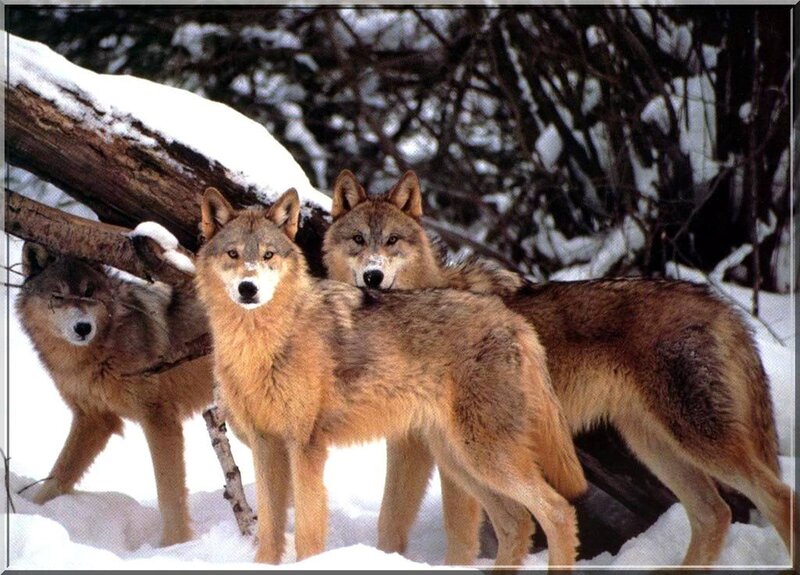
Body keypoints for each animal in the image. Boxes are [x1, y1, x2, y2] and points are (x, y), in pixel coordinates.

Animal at [16, 242, 214, 546]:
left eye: (88, 292)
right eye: (58, 296)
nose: (83, 327)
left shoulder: (159, 419)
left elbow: (169, 492)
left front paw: (174, 545)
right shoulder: (94, 420)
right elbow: (57, 476)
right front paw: (31, 512)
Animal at [194, 187, 587, 567]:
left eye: (268, 255)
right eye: (232, 254)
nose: (248, 288)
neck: (263, 344)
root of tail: (512, 319)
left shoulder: (306, 447)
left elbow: (307, 532)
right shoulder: (266, 446)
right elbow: (268, 535)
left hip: (485, 456)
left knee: (558, 511)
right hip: (459, 460)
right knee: (516, 522)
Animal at [322, 169, 795, 567]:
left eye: (392, 241)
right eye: (359, 240)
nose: (373, 276)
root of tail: (721, 306)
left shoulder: (443, 458)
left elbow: (459, 533)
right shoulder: (414, 446)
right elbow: (390, 523)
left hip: (697, 441)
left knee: (777, 498)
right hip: (652, 445)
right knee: (715, 513)